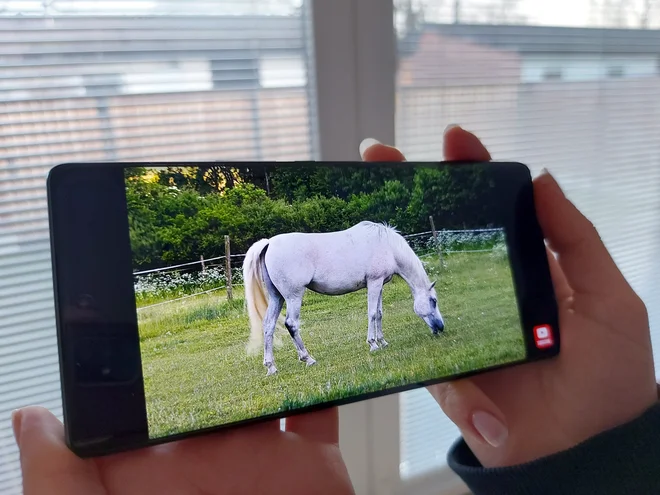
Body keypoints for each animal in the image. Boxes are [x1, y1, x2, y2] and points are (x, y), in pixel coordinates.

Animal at [242, 221, 444, 376]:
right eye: (433, 301)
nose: (440, 328)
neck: (386, 245)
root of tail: (269, 243)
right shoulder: (374, 283)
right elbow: (372, 313)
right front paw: (373, 344)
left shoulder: (379, 285)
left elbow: (379, 313)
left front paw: (383, 341)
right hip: (293, 296)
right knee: (291, 324)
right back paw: (308, 359)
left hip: (277, 297)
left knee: (268, 325)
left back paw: (271, 367)